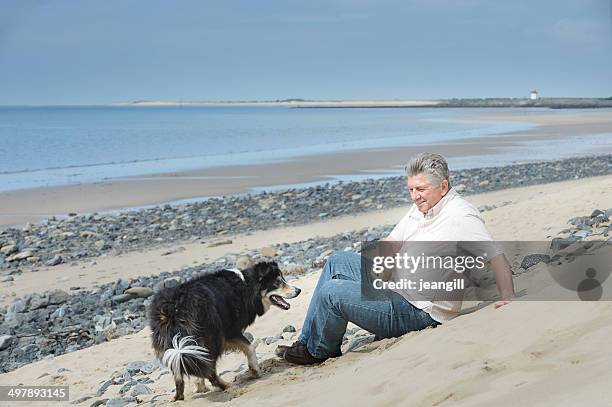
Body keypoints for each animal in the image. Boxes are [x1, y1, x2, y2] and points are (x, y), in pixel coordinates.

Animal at [149, 262, 302, 402]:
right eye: (277, 282)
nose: (299, 290)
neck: (247, 286)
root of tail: (175, 307)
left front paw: (200, 387)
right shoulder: (230, 332)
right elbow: (250, 347)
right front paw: (255, 370)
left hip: (174, 342)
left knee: (179, 370)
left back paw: (178, 396)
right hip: (211, 337)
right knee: (210, 370)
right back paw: (227, 386)